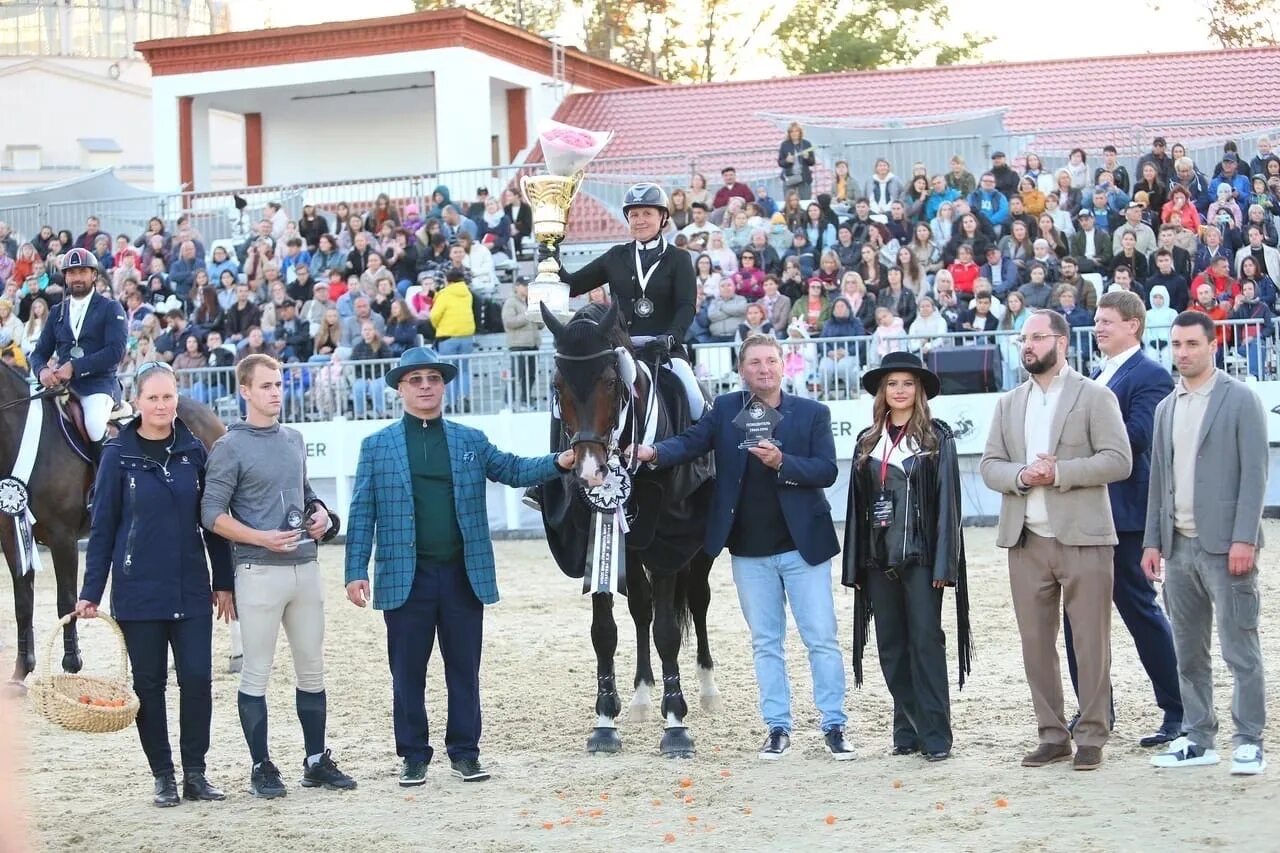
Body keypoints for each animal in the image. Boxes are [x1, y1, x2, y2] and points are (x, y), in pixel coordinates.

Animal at [537, 302, 721, 753]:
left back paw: (707, 689)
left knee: (698, 601)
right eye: (558, 384)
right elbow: (605, 631)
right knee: (641, 609)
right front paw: (605, 720)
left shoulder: (670, 544)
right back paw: (641, 694)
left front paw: (676, 724)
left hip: (698, 550)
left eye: (608, 381)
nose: (589, 471)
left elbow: (668, 630)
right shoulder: (595, 540)